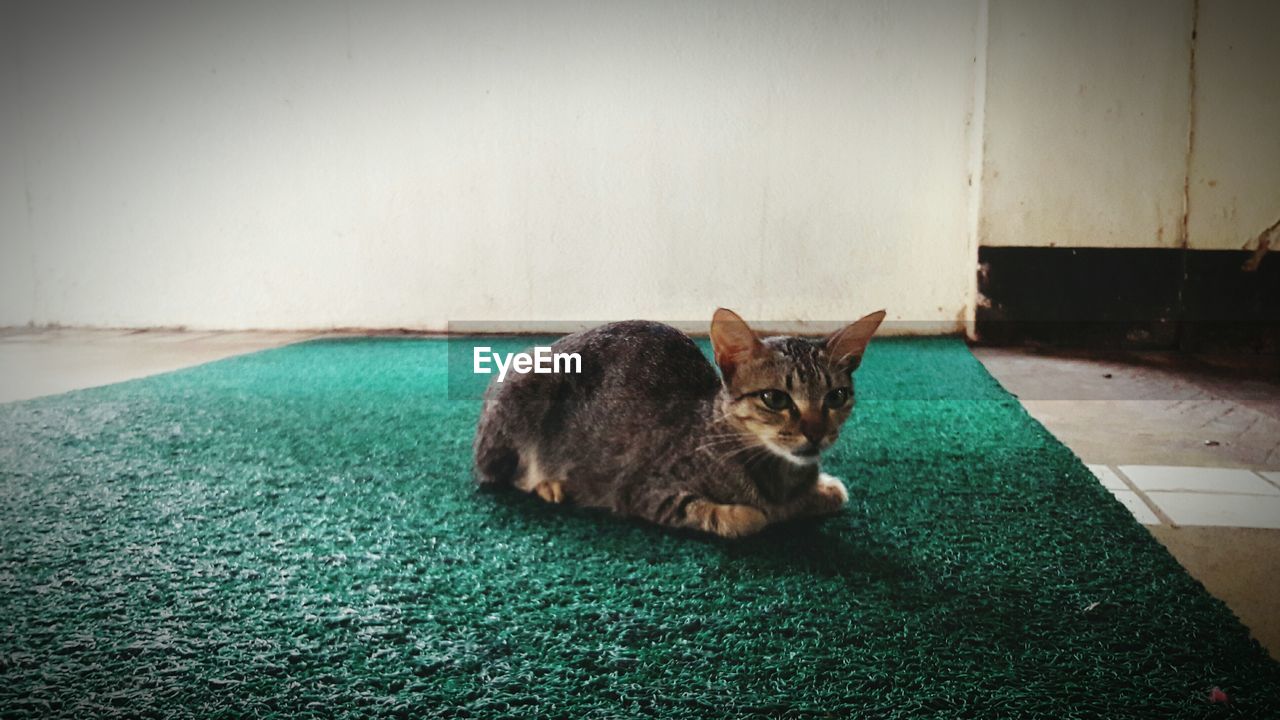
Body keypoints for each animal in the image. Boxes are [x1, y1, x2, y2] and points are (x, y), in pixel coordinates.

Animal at [476, 304, 885, 535]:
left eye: (836, 396)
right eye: (775, 398)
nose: (817, 434)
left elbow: (826, 494)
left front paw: (820, 489)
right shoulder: (644, 491)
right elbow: (748, 519)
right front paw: (764, 512)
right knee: (504, 473)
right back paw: (547, 483)